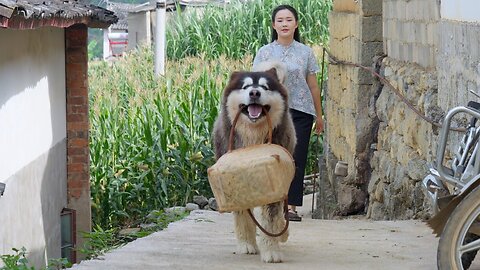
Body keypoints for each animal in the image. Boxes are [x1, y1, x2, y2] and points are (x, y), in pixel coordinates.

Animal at [212, 61, 294, 262]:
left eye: (265, 87)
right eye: (246, 86)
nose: (255, 93)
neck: (253, 138)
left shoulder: (274, 182)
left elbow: (271, 219)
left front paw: (271, 251)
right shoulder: (234, 181)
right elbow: (242, 215)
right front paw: (246, 244)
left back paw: (282, 232)